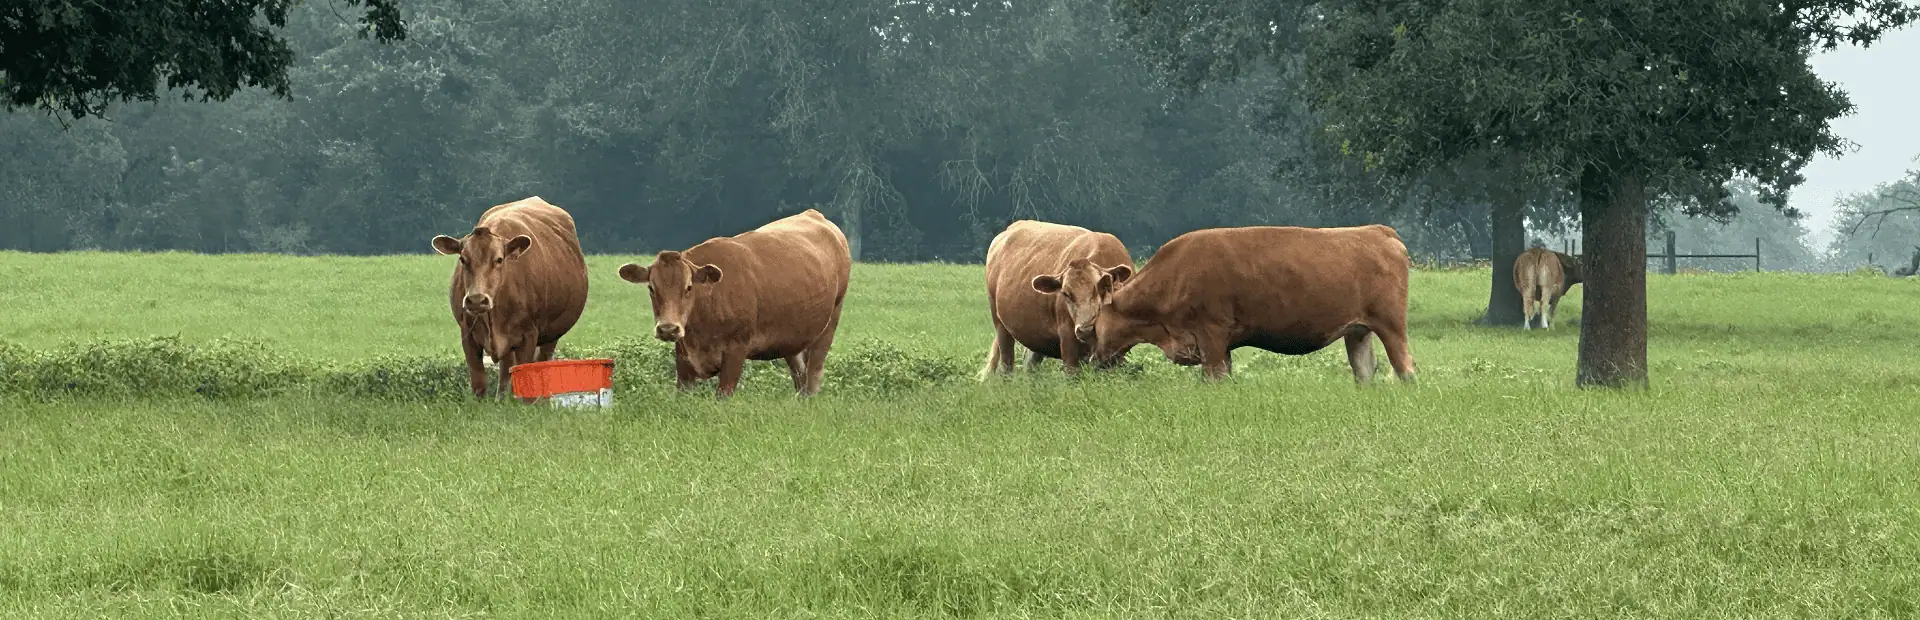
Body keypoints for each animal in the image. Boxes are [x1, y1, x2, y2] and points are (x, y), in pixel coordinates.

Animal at [430, 196, 590, 400]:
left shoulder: (529, 335)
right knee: (506, 369)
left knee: (542, 364)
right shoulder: (468, 335)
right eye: (463, 259)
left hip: (551, 335)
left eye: (499, 259)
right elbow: (479, 383)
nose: (476, 300)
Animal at [616, 209, 851, 398]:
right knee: (800, 374)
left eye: (689, 287)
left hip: (830, 323)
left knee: (813, 374)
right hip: (793, 338)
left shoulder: (736, 351)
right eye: (651, 288)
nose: (668, 329)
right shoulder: (683, 358)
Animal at [979, 220, 1135, 379]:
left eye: (1102, 288)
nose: (1085, 329)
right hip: (1000, 324)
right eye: (1066, 293)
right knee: (1006, 362)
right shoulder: (1068, 339)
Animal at [1089, 225, 1416, 383]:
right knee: (1364, 372)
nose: (1093, 359)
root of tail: (1376, 231)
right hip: (1358, 331)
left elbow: (1214, 379)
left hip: (1391, 326)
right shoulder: (1221, 347)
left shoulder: (1211, 335)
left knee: (1406, 369)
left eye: (1093, 323)